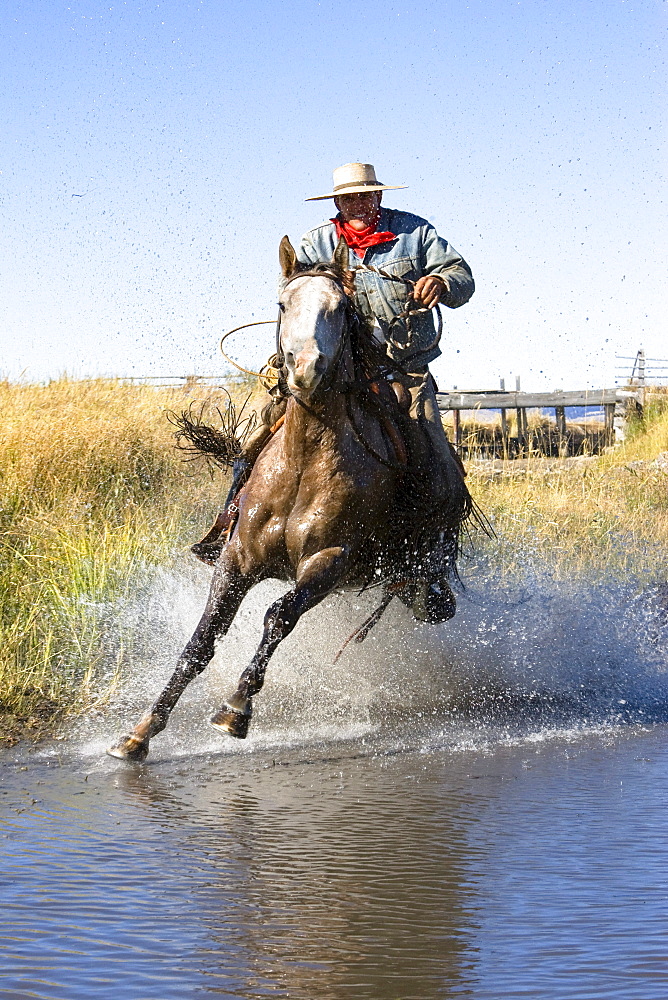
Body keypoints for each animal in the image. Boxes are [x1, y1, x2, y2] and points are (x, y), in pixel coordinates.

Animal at [107, 238, 472, 760]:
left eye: (340, 308)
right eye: (283, 304)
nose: (305, 368)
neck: (304, 459)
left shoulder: (329, 561)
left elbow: (278, 616)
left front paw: (235, 709)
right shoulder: (237, 558)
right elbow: (202, 639)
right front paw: (141, 731)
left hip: (413, 577)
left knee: (423, 593)